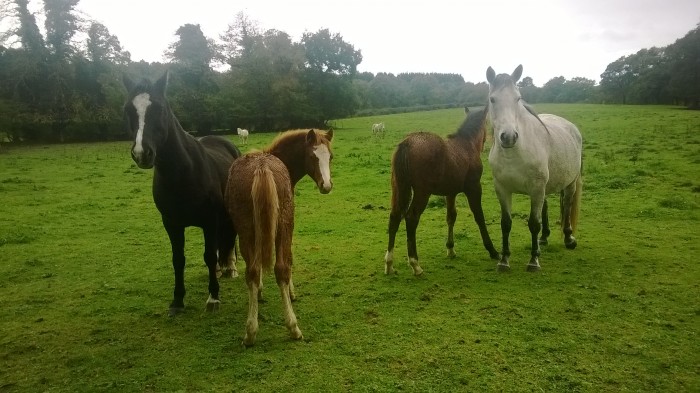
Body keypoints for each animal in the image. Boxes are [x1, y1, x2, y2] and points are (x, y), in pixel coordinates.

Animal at [125, 71, 243, 316]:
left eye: (160, 109)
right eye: (128, 110)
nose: (141, 153)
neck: (182, 172)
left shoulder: (209, 220)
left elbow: (209, 256)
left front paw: (213, 297)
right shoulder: (171, 223)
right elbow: (178, 259)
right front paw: (177, 301)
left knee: (230, 237)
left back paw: (231, 267)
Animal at [484, 65, 584, 272]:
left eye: (518, 98)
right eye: (492, 99)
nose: (509, 137)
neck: (514, 152)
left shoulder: (536, 188)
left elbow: (533, 223)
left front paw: (533, 261)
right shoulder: (502, 189)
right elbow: (506, 223)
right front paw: (504, 260)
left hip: (569, 183)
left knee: (567, 204)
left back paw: (569, 238)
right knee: (545, 207)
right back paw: (543, 239)